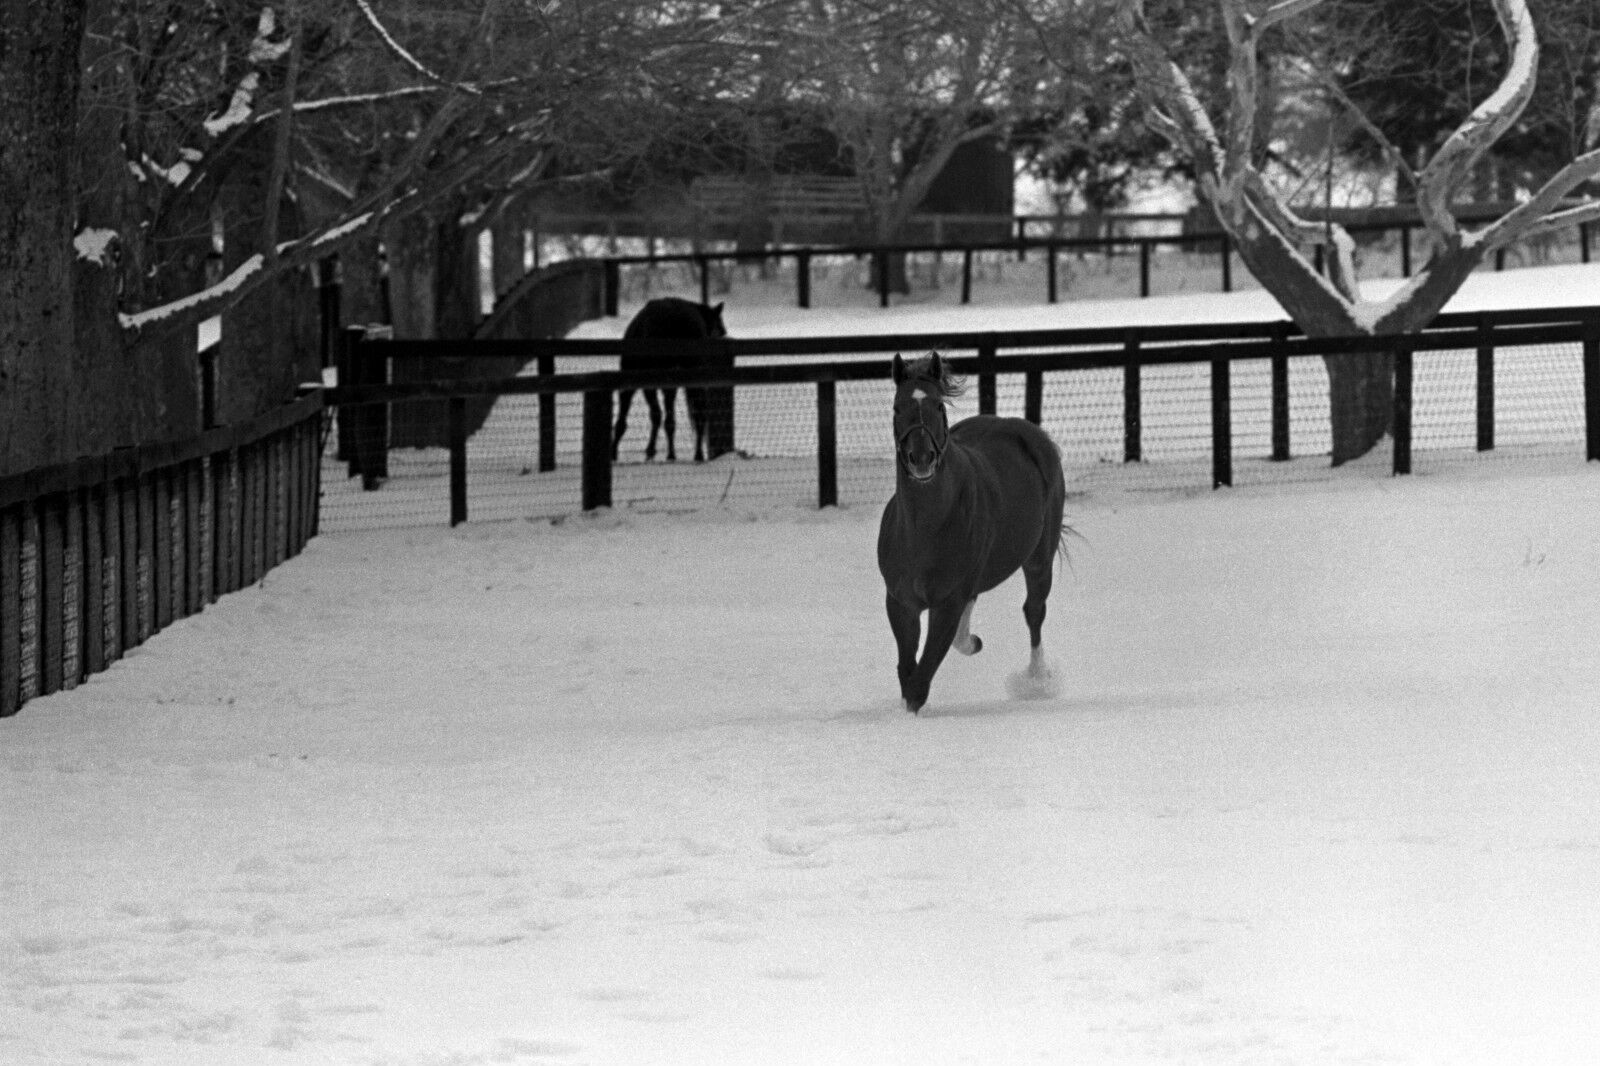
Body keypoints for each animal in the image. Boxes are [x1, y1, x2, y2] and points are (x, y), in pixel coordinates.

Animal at [604, 300, 726, 464]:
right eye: (719, 331)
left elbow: (661, 417)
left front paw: (657, 452)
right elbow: (664, 418)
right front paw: (665, 453)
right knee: (697, 414)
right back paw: (697, 454)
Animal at [883, 352, 1068, 710]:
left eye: (939, 406)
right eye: (898, 408)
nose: (921, 458)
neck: (921, 530)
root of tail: (1019, 427)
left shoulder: (946, 604)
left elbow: (919, 682)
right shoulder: (901, 603)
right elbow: (906, 671)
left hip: (1039, 559)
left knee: (1034, 612)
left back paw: (1036, 681)